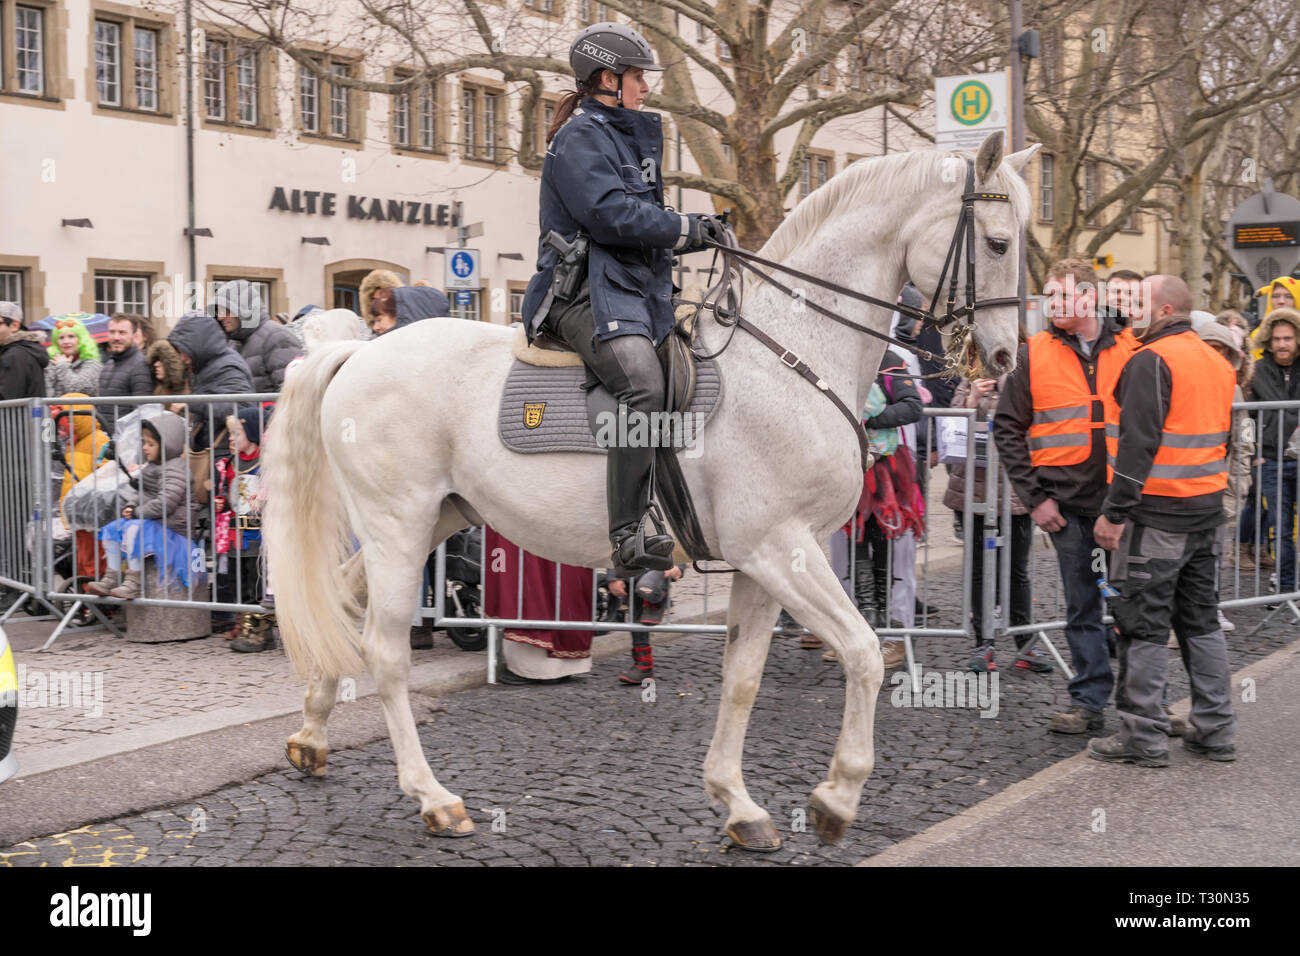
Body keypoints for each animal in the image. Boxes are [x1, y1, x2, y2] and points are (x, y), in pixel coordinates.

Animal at [261, 130, 1034, 848]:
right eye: (999, 242)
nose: (1004, 358)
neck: (792, 358)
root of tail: (358, 350)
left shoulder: (763, 560)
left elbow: (743, 676)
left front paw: (738, 804)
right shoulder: (784, 549)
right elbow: (865, 653)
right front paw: (836, 798)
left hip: (434, 519)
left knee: (343, 595)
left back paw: (312, 734)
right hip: (398, 523)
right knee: (385, 649)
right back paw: (433, 797)